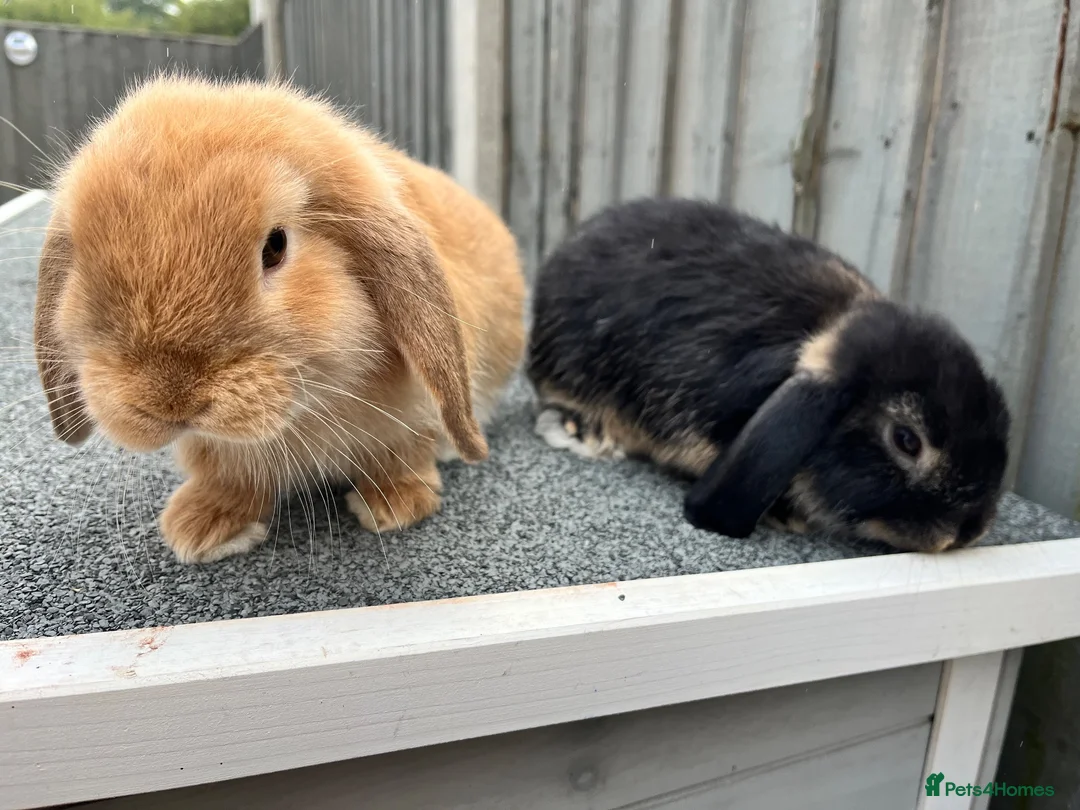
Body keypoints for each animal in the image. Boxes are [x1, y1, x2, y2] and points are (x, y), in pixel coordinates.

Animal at [33, 73, 526, 563]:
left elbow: (404, 453)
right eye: (82, 257)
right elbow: (230, 477)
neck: (305, 409)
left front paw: (394, 507)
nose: (170, 401)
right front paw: (200, 528)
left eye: (275, 246)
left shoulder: (409, 420)